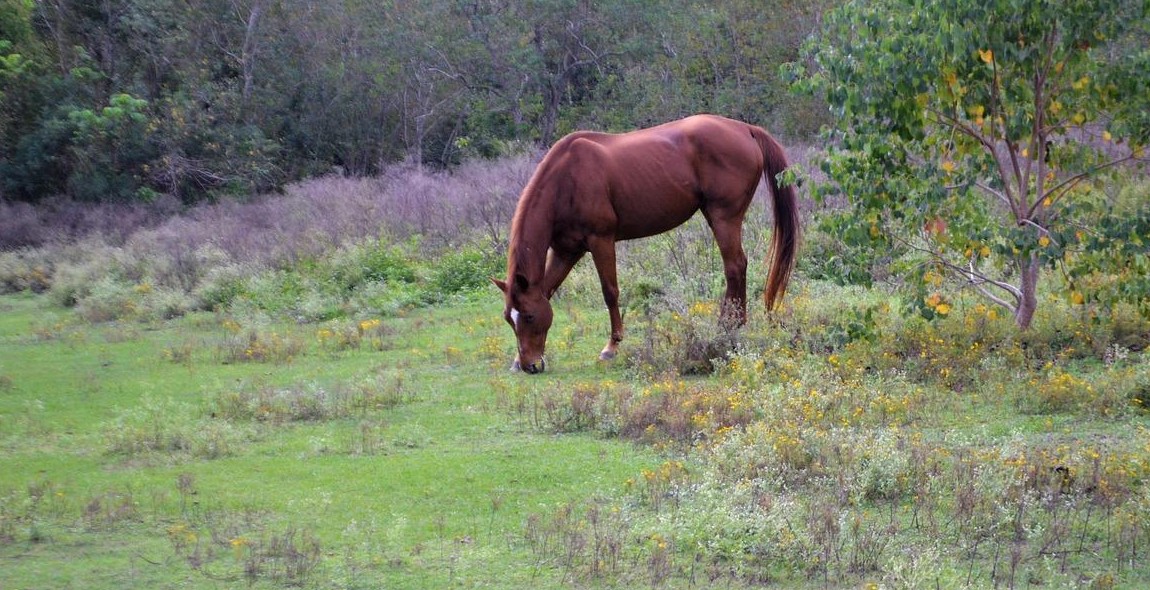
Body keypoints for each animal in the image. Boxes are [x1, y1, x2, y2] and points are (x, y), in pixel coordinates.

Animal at [494, 113, 800, 372]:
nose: (529, 365)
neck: (567, 178)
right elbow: (548, 289)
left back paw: (728, 327)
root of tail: (745, 129)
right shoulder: (566, 251)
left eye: (529, 316)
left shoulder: (601, 240)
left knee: (735, 266)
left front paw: (612, 347)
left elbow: (610, 292)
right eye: (509, 318)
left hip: (724, 217)